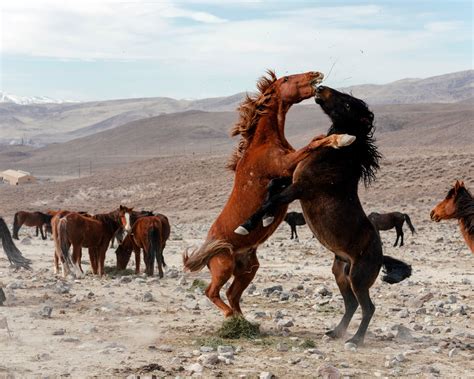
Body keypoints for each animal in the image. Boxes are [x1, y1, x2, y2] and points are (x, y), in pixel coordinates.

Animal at [182, 70, 356, 320]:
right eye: (286, 79)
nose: (315, 74)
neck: (263, 143)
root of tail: (207, 248)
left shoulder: (290, 170)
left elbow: (313, 144)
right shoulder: (285, 165)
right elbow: (312, 143)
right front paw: (343, 139)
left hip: (248, 268)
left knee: (233, 294)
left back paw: (243, 320)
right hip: (223, 266)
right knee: (212, 292)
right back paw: (231, 316)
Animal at [237, 87, 412, 348]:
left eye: (349, 104)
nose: (320, 89)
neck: (335, 157)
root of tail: (380, 256)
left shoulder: (301, 188)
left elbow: (272, 199)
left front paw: (246, 225)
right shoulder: (293, 181)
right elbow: (272, 187)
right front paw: (266, 218)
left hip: (358, 278)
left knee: (368, 307)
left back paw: (355, 340)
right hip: (341, 273)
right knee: (351, 304)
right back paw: (335, 332)